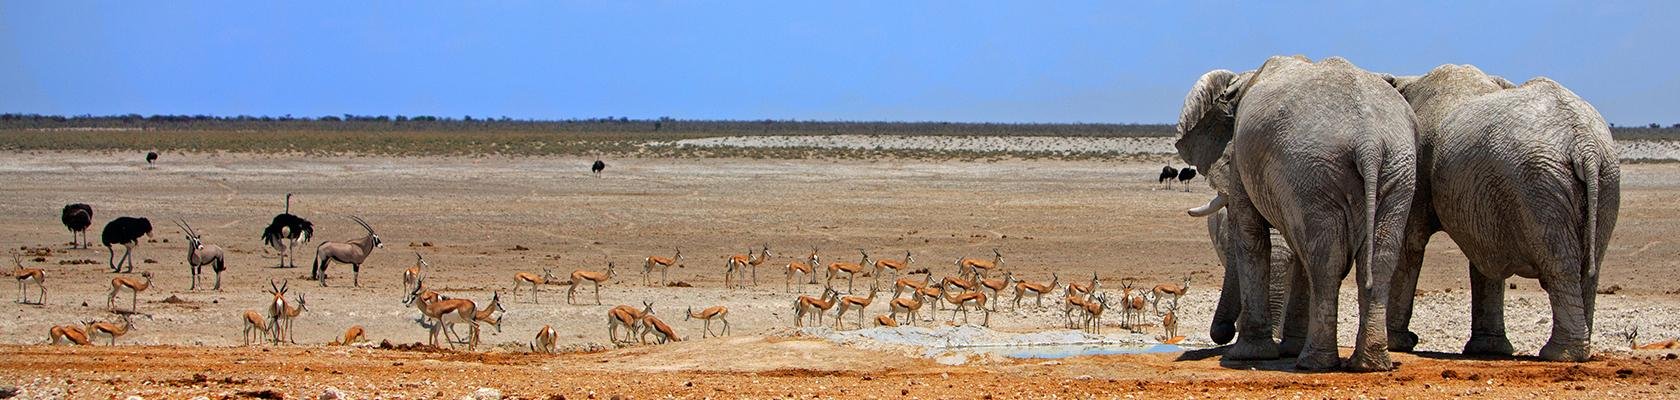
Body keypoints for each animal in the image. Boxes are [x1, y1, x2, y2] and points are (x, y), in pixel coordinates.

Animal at [1176, 54, 1424, 369]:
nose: (1221, 333)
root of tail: (1368, 141)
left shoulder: (1245, 160)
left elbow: (1250, 235)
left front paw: (1247, 354)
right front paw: (1285, 349)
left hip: (1315, 169)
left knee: (1325, 261)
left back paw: (1314, 362)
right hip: (1396, 169)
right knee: (1379, 258)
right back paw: (1369, 363)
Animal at [1384, 64, 1619, 363]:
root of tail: (1584, 144)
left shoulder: (1421, 164)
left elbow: (1410, 243)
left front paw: (1397, 343)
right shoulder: (1485, 191)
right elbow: (1484, 256)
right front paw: (1489, 349)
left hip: (1542, 184)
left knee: (1560, 266)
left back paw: (1559, 354)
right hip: (1602, 179)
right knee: (1589, 269)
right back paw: (1579, 351)